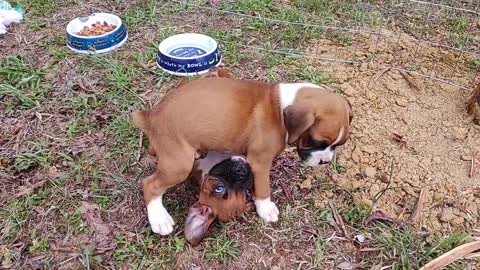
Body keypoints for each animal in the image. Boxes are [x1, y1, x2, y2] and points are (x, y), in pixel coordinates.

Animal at [131, 68, 352, 235]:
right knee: (150, 185)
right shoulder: (260, 162)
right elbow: (263, 187)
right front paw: (266, 208)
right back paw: (159, 219)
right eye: (317, 141)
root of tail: (151, 116)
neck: (279, 108)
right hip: (178, 165)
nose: (325, 161)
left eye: (338, 145)